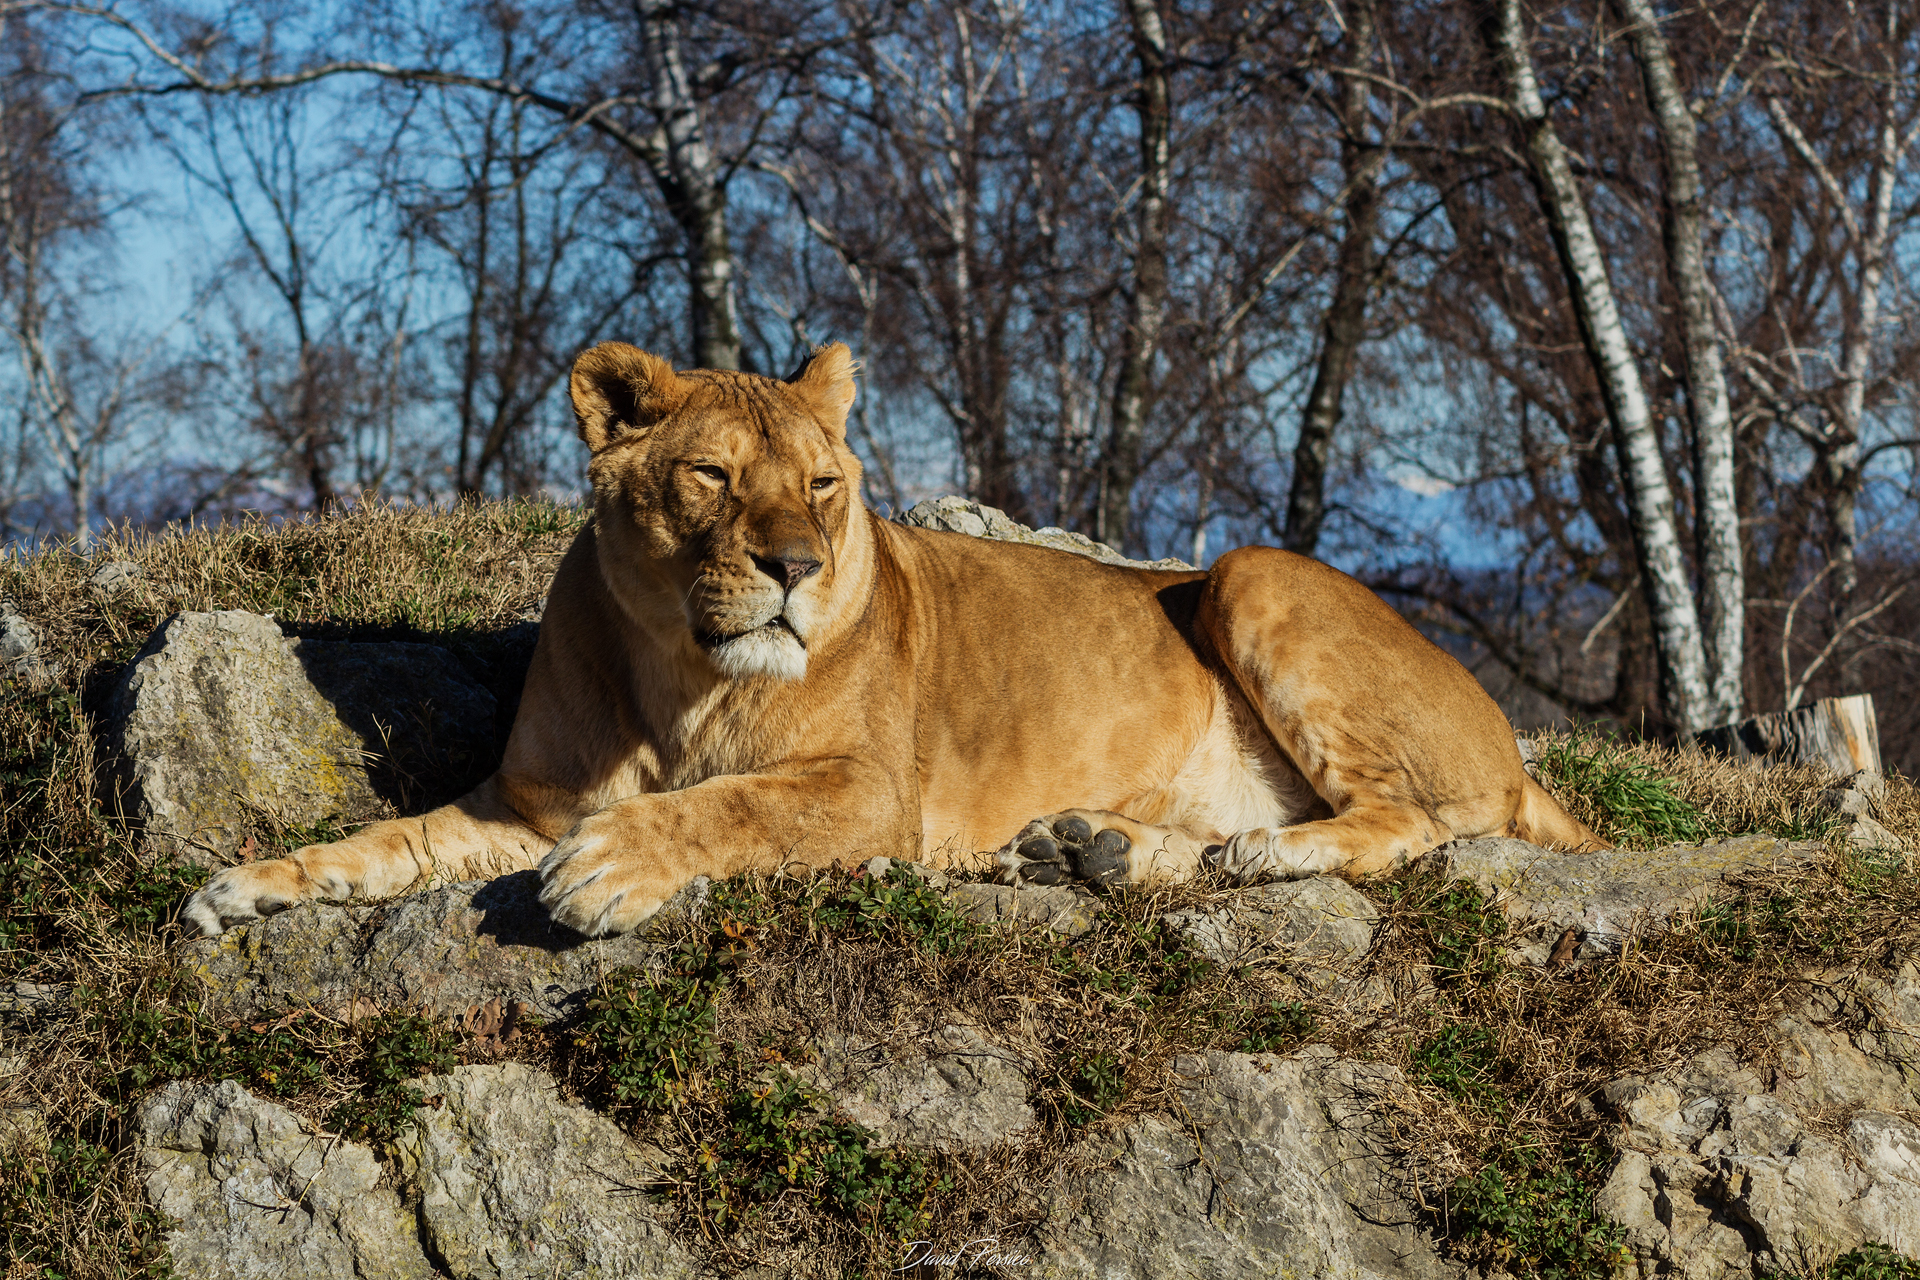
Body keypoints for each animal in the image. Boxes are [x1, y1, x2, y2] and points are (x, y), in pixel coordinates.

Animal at [183, 341, 1602, 940]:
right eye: (709, 475)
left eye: (821, 485)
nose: (795, 570)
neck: (678, 673)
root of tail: (1516, 743)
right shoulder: (523, 802)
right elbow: (390, 844)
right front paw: (243, 888)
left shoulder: (872, 791)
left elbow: (734, 805)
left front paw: (612, 871)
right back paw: (1092, 848)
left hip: (1255, 575)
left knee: (1413, 819)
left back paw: (1257, 851)